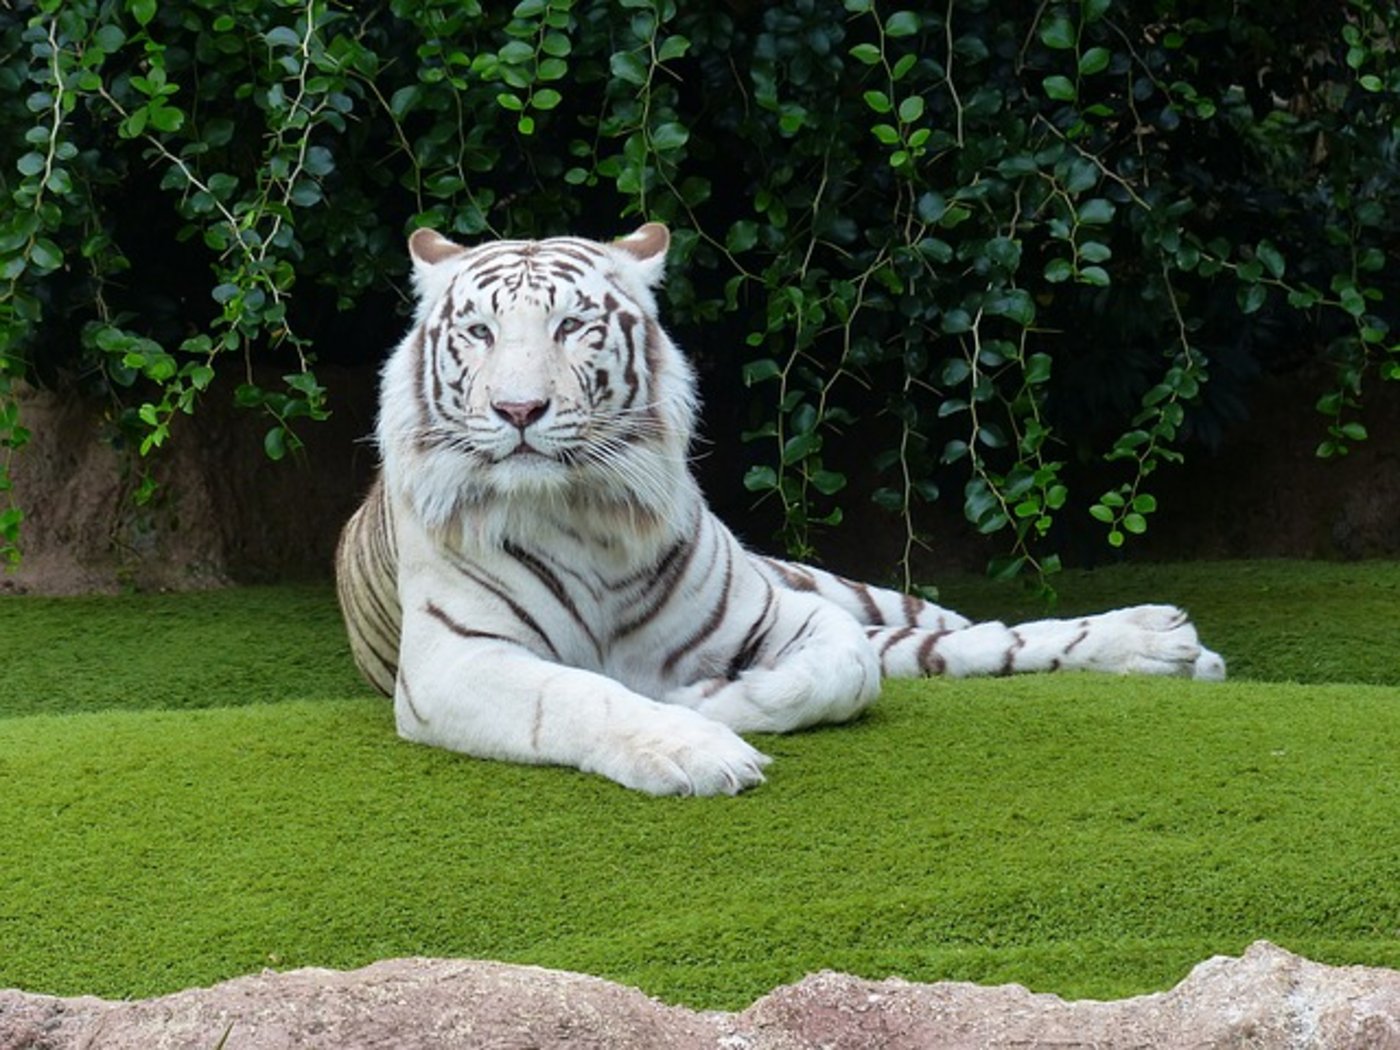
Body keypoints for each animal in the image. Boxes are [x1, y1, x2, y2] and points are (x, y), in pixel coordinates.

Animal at [335, 222, 1225, 796]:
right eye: (480, 333)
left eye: (574, 327)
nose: (518, 410)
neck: (585, 512)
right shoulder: (453, 660)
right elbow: (582, 694)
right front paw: (692, 746)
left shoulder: (783, 612)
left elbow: (844, 670)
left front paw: (706, 700)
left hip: (846, 589)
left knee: (968, 636)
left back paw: (1167, 643)